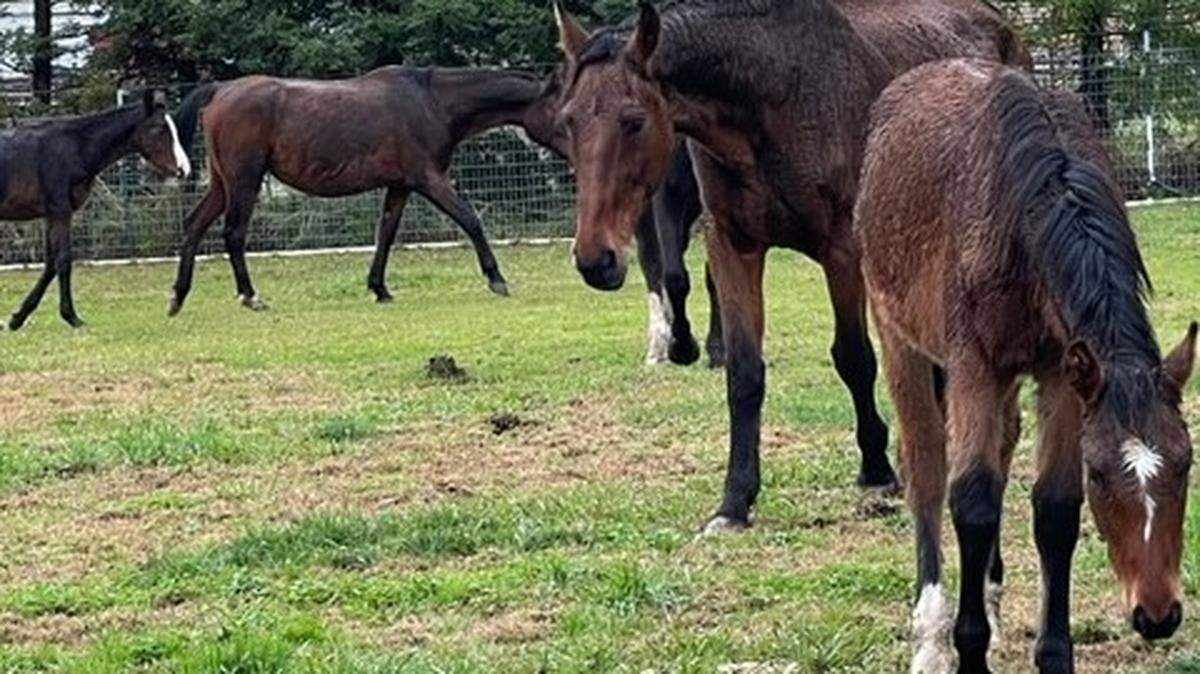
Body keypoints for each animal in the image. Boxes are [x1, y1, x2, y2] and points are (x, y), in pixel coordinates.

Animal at [2, 90, 191, 330]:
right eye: (159, 128)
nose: (183, 169)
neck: (73, 147)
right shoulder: (60, 211)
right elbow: (63, 260)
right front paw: (72, 317)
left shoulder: (51, 215)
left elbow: (51, 264)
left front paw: (18, 318)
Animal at [165, 66, 567, 315]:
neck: (431, 102)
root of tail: (220, 89)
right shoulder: (428, 179)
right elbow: (470, 220)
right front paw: (496, 279)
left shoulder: (399, 186)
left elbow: (385, 234)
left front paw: (379, 288)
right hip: (244, 181)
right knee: (233, 233)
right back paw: (250, 296)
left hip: (223, 183)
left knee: (194, 225)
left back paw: (178, 296)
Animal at [552, 0, 1030, 533]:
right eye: (568, 120)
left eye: (633, 120)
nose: (596, 259)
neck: (774, 91)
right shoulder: (733, 245)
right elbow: (743, 373)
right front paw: (734, 500)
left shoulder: (842, 250)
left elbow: (854, 359)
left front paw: (876, 470)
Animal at [856, 58, 1196, 673]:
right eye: (1100, 473)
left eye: (1185, 463)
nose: (1158, 614)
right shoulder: (972, 365)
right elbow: (973, 499)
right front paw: (966, 647)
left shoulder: (1063, 372)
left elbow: (1054, 508)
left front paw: (1053, 653)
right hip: (901, 340)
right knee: (926, 471)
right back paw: (931, 638)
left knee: (1004, 442)